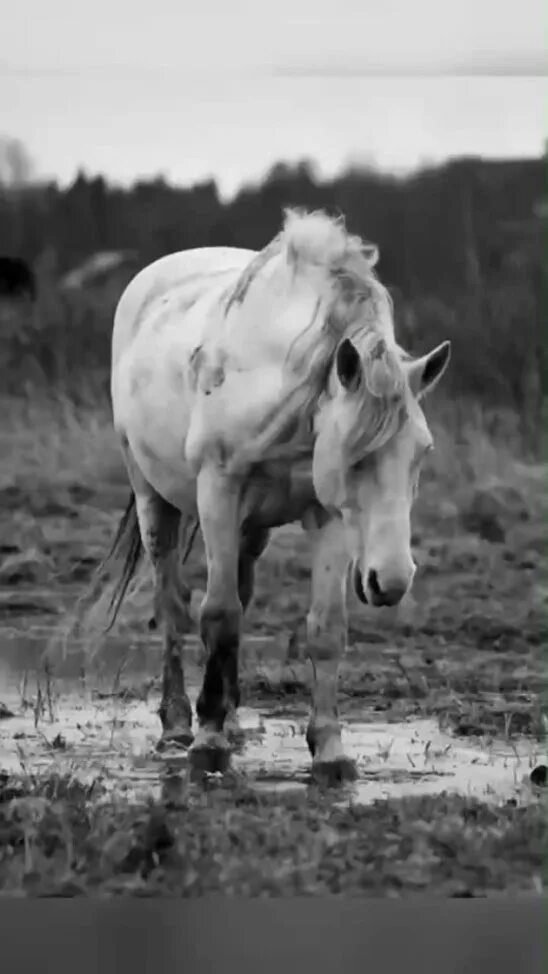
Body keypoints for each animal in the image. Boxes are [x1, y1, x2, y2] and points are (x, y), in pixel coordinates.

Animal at [93, 212, 450, 784]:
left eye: (423, 451)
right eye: (354, 457)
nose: (391, 581)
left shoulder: (329, 516)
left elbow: (324, 626)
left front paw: (329, 749)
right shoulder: (219, 492)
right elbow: (218, 615)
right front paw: (208, 744)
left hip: (251, 528)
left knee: (238, 593)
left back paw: (232, 717)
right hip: (154, 499)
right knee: (174, 604)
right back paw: (178, 725)